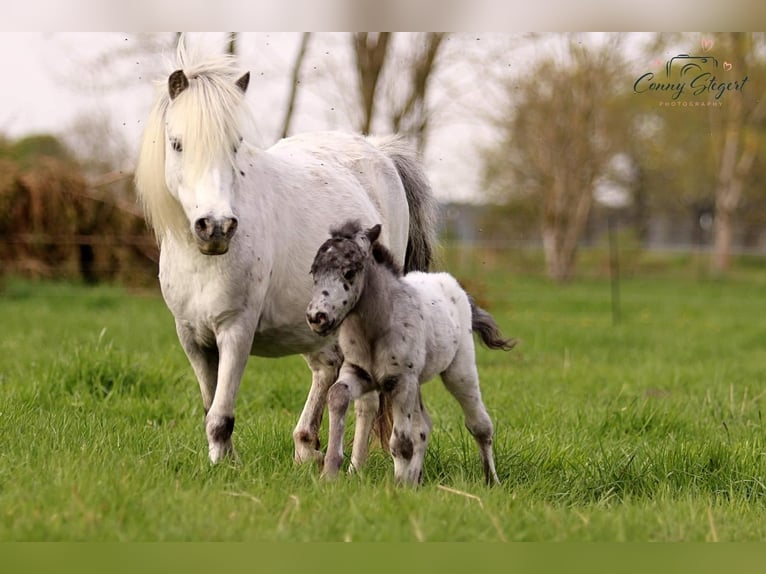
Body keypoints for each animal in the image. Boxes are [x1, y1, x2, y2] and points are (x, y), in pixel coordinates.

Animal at [134, 38, 438, 466]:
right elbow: (211, 408)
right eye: (177, 144)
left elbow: (220, 417)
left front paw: (223, 466)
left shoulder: (236, 331)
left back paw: (355, 467)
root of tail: (379, 151)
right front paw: (223, 462)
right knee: (327, 371)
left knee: (367, 402)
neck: (202, 262)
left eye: (235, 146)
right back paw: (307, 446)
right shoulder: (192, 338)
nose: (216, 227)